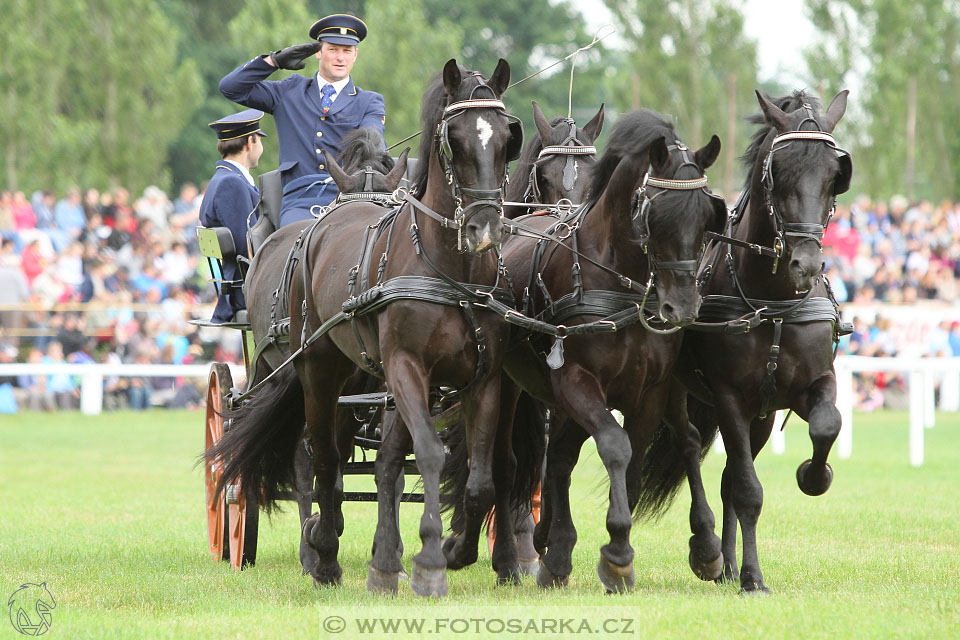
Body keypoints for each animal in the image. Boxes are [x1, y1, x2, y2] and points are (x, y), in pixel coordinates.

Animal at [210, 60, 520, 600]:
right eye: (454, 140)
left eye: (506, 138)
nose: (485, 228)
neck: (451, 271)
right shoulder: (405, 369)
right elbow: (427, 454)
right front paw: (428, 561)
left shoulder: (482, 378)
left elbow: (475, 475)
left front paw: (448, 550)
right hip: (314, 370)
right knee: (317, 457)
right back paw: (320, 549)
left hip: (353, 379)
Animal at [438, 107, 724, 592]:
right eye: (657, 215)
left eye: (707, 217)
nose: (682, 307)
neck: (617, 275)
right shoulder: (575, 380)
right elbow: (613, 445)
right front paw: (616, 554)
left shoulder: (648, 392)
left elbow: (631, 460)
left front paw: (609, 549)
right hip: (510, 384)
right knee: (506, 462)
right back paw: (502, 556)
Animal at [636, 89, 856, 596]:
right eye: (781, 172)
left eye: (834, 175)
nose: (805, 264)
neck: (771, 302)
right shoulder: (730, 397)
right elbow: (749, 490)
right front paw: (754, 578)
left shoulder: (808, 384)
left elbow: (826, 426)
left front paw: (814, 475)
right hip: (678, 390)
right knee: (691, 447)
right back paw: (708, 553)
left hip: (762, 413)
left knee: (726, 477)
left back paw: (728, 565)